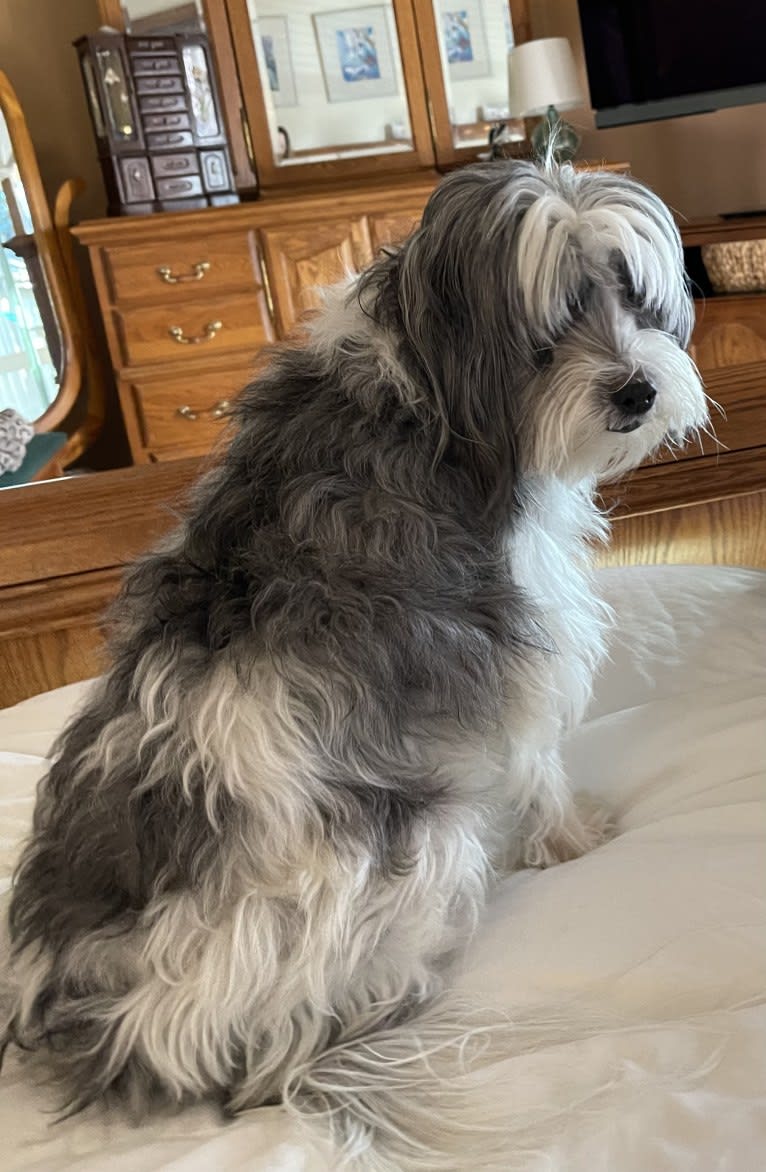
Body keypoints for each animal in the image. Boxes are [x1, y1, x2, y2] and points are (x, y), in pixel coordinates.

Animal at [3, 160, 712, 1167]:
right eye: (547, 326)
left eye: (633, 295)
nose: (636, 392)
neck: (427, 392)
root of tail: (129, 1026)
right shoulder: (518, 634)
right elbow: (535, 755)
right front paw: (570, 836)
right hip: (427, 839)